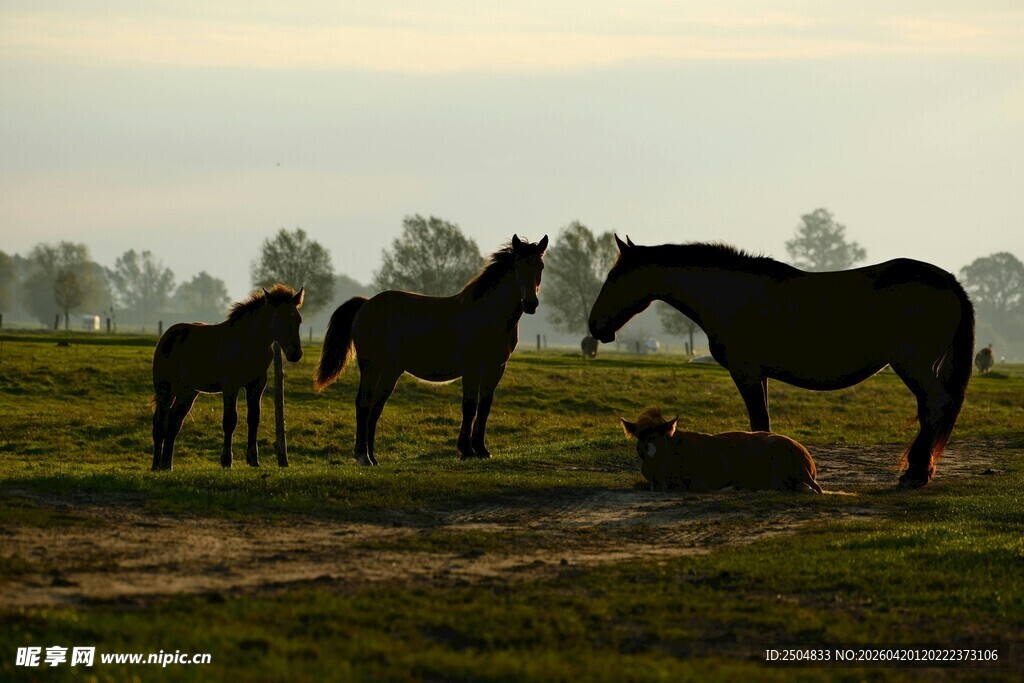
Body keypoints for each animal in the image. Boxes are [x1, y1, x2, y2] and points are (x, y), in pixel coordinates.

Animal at [151, 285, 304, 471]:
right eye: (279, 319)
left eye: (298, 320)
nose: (295, 353)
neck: (249, 344)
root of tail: (167, 335)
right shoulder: (230, 386)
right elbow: (230, 420)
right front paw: (226, 460)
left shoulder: (257, 385)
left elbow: (254, 418)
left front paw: (253, 460)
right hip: (166, 388)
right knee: (160, 422)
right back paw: (156, 465)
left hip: (188, 391)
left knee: (174, 421)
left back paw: (167, 465)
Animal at [314, 235, 548, 465]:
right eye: (518, 265)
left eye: (541, 266)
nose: (530, 303)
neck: (488, 314)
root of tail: (365, 304)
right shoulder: (472, 368)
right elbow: (470, 406)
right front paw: (466, 450)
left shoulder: (496, 368)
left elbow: (484, 407)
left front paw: (481, 450)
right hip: (371, 366)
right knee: (363, 403)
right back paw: (362, 455)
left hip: (390, 370)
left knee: (376, 407)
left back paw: (372, 457)